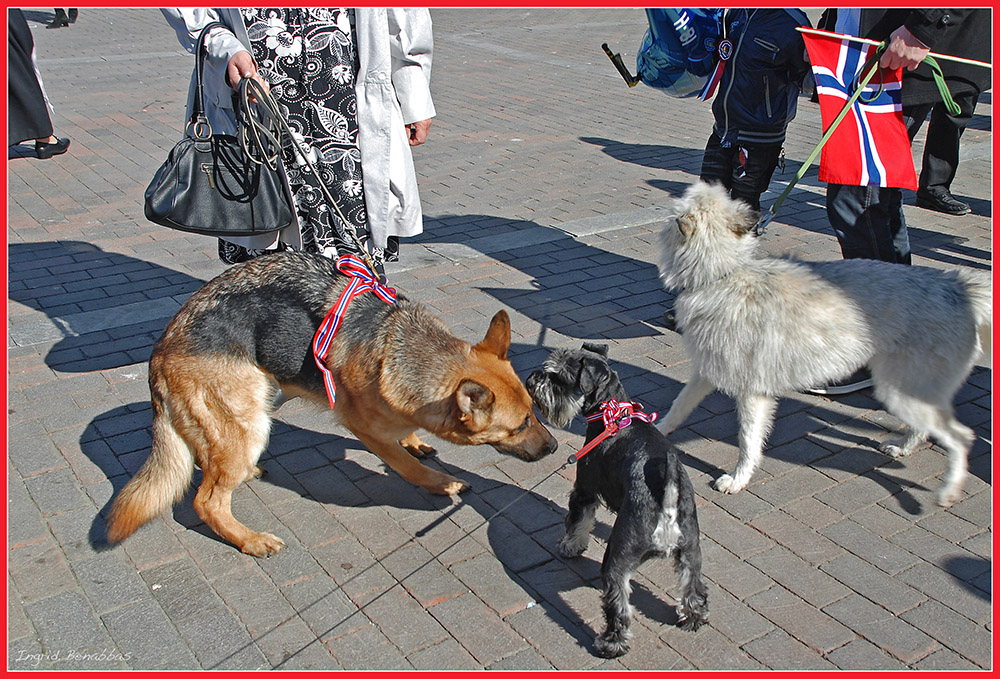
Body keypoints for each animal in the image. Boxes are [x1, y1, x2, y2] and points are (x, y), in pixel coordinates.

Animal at [656, 183, 992, 508]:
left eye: (672, 216)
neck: (725, 274)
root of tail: (958, 287)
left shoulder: (753, 392)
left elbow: (747, 442)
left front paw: (738, 479)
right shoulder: (707, 371)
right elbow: (678, 408)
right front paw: (653, 432)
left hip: (902, 391)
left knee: (962, 437)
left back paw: (947, 491)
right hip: (906, 392)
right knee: (925, 429)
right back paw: (901, 450)